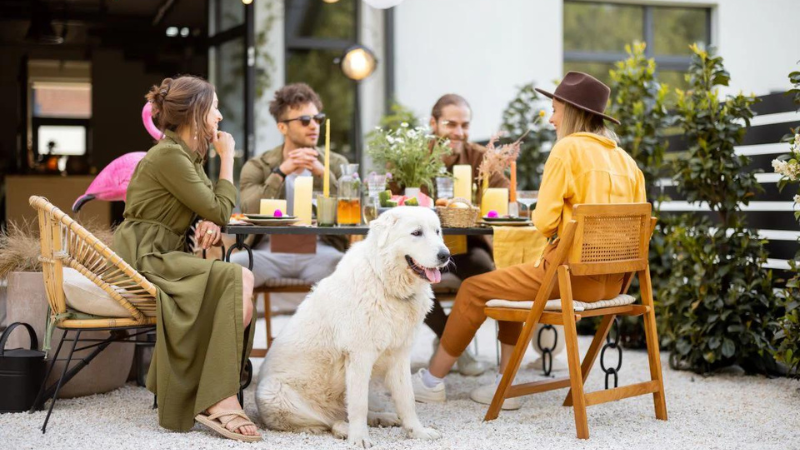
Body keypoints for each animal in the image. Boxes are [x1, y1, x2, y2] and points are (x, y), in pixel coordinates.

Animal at [260, 207, 454, 446]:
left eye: (437, 232)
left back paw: (383, 418)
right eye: (416, 233)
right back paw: (345, 429)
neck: (384, 283)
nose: (445, 255)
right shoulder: (359, 356)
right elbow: (359, 405)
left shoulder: (399, 356)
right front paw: (359, 438)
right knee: (328, 422)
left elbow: (406, 399)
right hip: (274, 394)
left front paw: (417, 432)